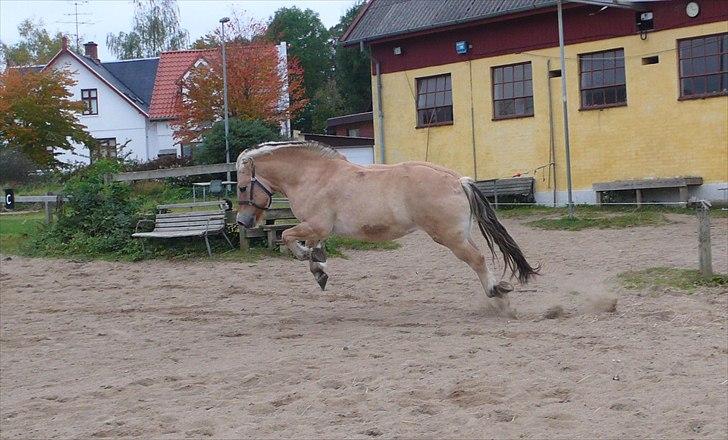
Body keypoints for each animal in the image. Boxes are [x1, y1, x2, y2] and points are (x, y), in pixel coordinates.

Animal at [236, 141, 536, 310]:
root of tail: (458, 180)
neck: (314, 176)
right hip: (460, 234)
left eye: (240, 186)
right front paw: (319, 270)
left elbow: (289, 237)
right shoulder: (318, 230)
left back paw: (496, 293)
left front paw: (308, 259)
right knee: (479, 257)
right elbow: (314, 251)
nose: (243, 221)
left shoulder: (316, 225)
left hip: (450, 237)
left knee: (477, 259)